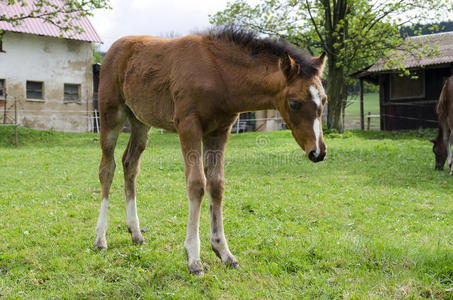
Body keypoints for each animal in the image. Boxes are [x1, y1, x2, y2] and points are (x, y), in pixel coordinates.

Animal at [95, 27, 326, 276]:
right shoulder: (188, 125)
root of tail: (115, 48)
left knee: (130, 164)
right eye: (294, 103)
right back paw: (100, 238)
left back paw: (136, 233)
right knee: (107, 168)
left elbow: (216, 184)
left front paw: (223, 252)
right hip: (111, 115)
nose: (318, 152)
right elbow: (197, 185)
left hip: (140, 123)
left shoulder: (219, 131)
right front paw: (193, 258)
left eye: (323, 100)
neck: (218, 74)